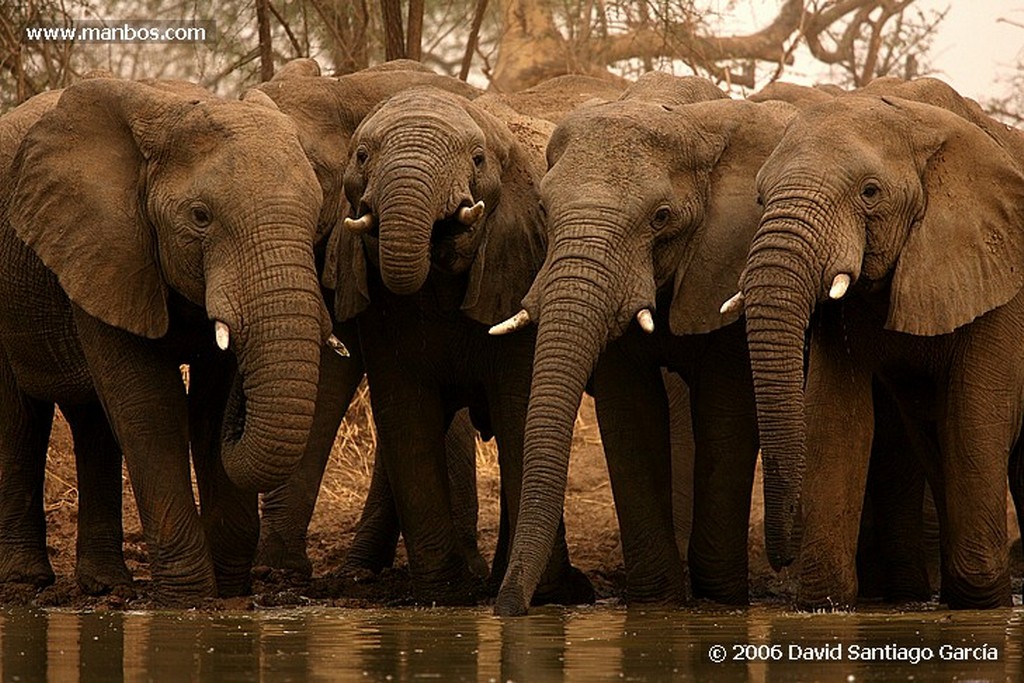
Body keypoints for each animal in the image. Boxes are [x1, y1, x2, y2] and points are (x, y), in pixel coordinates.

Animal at [0, 77, 327, 606]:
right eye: (200, 216)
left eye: (319, 216)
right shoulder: (107, 242)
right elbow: (150, 406)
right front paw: (189, 600)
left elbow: (207, 412)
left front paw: (229, 594)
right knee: (20, 416)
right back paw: (27, 580)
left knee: (93, 421)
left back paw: (106, 584)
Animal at [329, 85, 593, 602]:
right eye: (362, 155)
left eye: (477, 159)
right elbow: (407, 418)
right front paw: (445, 594)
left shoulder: (519, 261)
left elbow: (518, 410)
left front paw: (550, 595)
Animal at [491, 78, 794, 614]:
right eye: (544, 209)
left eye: (661, 217)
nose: (508, 608)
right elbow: (628, 414)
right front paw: (658, 603)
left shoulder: (727, 262)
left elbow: (725, 413)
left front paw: (720, 601)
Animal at [741, 85, 1024, 610]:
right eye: (761, 196)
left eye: (870, 193)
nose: (780, 561)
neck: (914, 117)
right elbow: (836, 416)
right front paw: (823, 602)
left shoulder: (1004, 272)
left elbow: (975, 413)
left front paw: (981, 602)